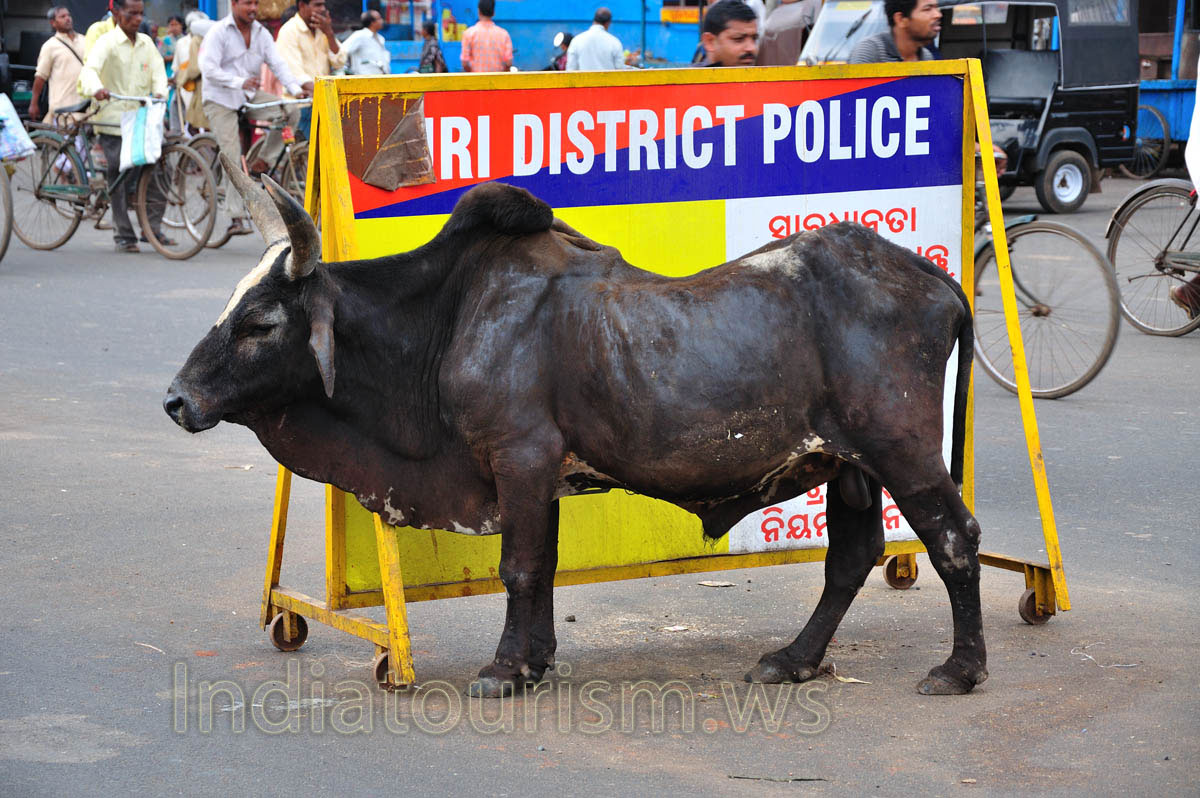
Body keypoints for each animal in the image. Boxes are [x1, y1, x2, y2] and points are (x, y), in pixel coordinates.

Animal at [164, 156, 986, 699]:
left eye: (260, 322)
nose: (176, 400)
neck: (445, 318)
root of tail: (927, 273)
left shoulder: (518, 457)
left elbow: (520, 567)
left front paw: (505, 668)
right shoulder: (542, 472)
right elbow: (546, 565)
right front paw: (537, 660)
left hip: (903, 449)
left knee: (952, 538)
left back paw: (960, 668)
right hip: (850, 465)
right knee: (852, 557)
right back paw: (794, 659)